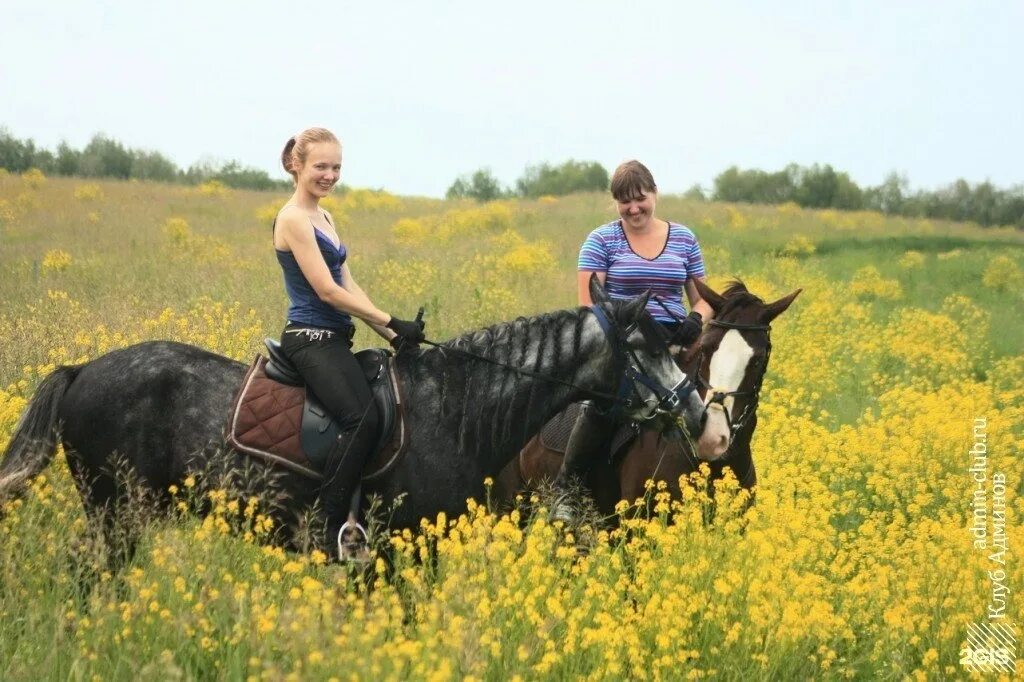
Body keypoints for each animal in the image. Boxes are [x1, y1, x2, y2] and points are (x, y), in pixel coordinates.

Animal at [0, 278, 704, 557]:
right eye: (646, 349)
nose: (697, 412)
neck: (455, 407)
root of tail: (83, 369)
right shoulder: (401, 543)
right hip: (116, 511)